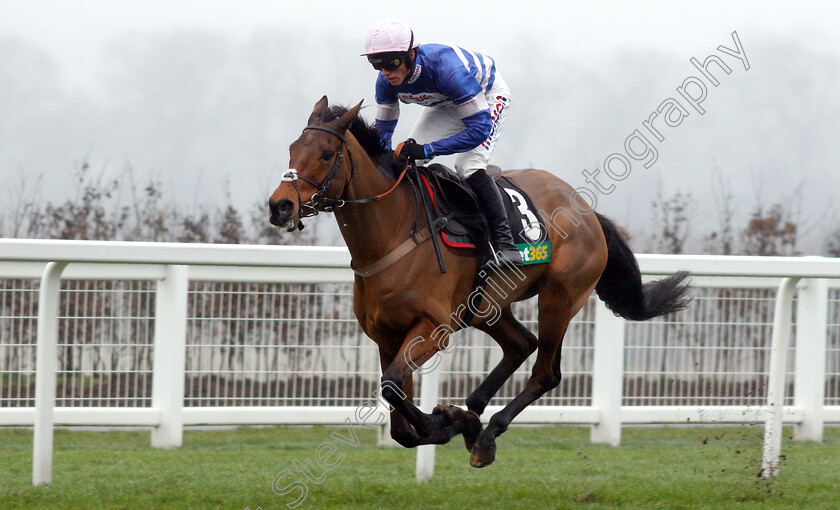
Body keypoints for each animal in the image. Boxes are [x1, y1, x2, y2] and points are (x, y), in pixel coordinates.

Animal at [270, 95, 688, 466]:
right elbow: (398, 418)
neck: (394, 232)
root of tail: (588, 212)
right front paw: (456, 420)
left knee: (546, 371)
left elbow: (394, 389)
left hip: (560, 296)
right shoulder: (386, 335)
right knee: (522, 344)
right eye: (291, 148)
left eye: (327, 153)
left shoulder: (433, 327)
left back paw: (487, 433)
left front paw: (450, 420)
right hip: (486, 304)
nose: (280, 205)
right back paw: (476, 409)